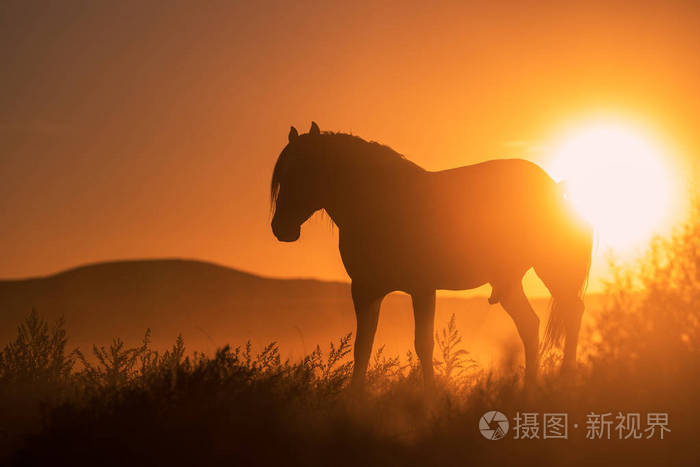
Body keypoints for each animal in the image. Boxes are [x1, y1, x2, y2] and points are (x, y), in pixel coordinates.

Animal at [271, 122, 592, 391]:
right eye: (282, 174)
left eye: (306, 170)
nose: (281, 229)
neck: (381, 207)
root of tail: (555, 187)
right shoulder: (365, 290)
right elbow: (363, 345)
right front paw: (354, 397)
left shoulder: (422, 288)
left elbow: (423, 344)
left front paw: (430, 396)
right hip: (508, 283)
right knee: (530, 325)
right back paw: (530, 386)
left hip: (551, 268)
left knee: (572, 312)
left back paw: (565, 378)